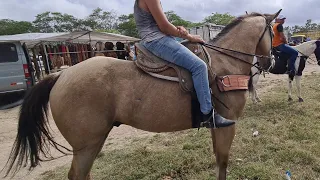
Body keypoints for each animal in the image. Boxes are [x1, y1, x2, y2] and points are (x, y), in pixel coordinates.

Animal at [3, 10, 282, 180]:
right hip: (86, 145)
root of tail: (61, 76)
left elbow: (217, 160)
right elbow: (223, 162)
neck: (225, 62)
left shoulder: (217, 126)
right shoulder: (227, 124)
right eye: (276, 32)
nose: (271, 61)